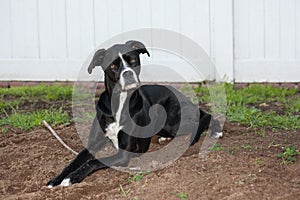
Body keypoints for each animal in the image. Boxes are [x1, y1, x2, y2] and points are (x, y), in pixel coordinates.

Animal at [46, 40, 220, 188]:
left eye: (133, 61)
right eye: (113, 65)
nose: (127, 73)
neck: (119, 102)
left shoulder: (124, 153)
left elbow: (93, 161)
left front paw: (72, 178)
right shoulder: (92, 145)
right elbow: (74, 161)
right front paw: (56, 179)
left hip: (172, 120)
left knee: (206, 116)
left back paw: (210, 133)